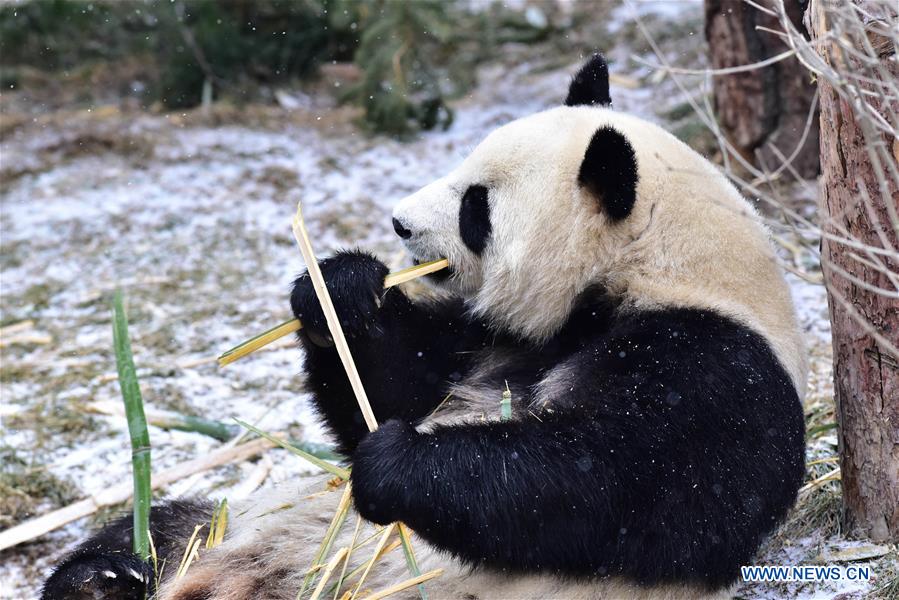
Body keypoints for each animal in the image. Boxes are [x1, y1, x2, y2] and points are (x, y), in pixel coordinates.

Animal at [42, 55, 807, 600]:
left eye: (476, 207)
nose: (400, 223)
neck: (645, 270)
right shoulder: (492, 339)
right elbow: (399, 385)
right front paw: (340, 290)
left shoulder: (710, 362)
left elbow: (610, 480)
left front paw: (394, 462)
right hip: (238, 518)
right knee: (158, 527)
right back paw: (104, 580)